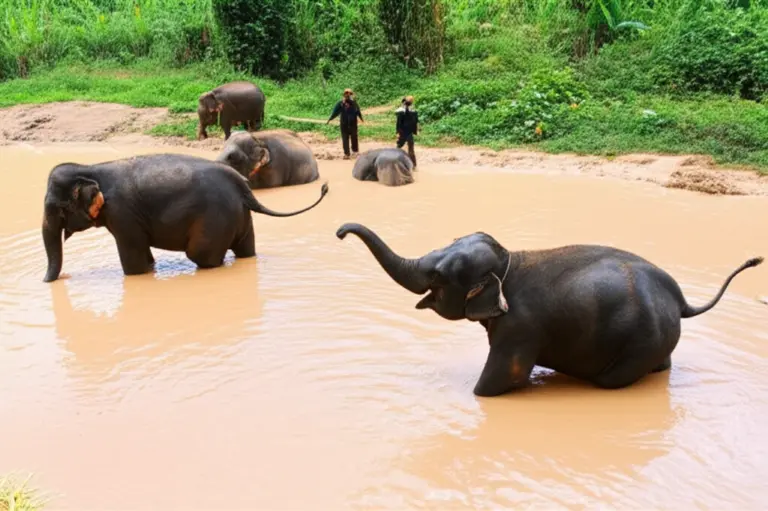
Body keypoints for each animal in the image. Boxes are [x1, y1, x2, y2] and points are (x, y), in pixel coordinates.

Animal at [41, 153, 329, 282]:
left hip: (215, 219)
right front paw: (152, 267)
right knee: (246, 250)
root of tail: (243, 187)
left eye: (57, 209)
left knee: (202, 255)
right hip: (240, 218)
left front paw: (137, 275)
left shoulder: (123, 215)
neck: (92, 168)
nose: (49, 283)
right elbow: (144, 254)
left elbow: (133, 260)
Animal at [335, 222, 764, 397]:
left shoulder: (519, 327)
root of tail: (681, 301)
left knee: (611, 381)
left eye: (438, 276)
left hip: (640, 342)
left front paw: (477, 395)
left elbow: (504, 376)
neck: (508, 261)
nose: (339, 233)